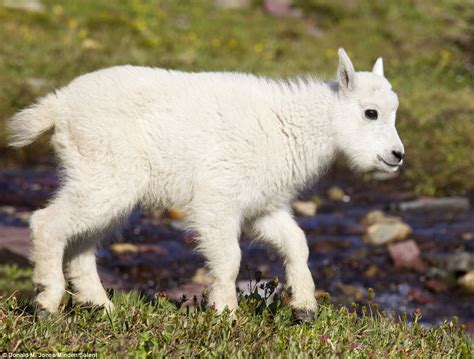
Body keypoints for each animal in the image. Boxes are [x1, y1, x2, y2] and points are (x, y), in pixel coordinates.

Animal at [8, 49, 404, 322]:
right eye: (371, 112)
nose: (397, 155)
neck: (289, 127)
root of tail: (58, 107)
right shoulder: (219, 198)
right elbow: (229, 258)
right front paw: (225, 313)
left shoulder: (261, 207)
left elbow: (297, 242)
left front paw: (304, 308)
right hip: (106, 175)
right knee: (48, 222)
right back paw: (47, 302)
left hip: (101, 182)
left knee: (82, 243)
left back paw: (102, 307)